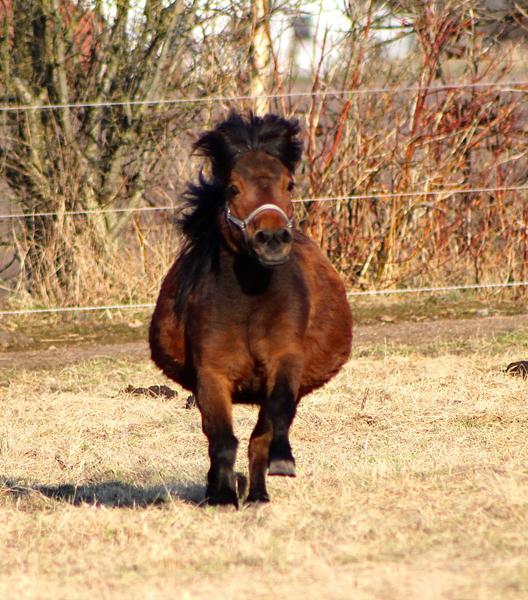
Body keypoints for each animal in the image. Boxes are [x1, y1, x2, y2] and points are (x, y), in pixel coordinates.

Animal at [151, 112, 352, 506]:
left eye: (289, 185)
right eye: (232, 188)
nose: (271, 239)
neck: (249, 306)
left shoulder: (286, 362)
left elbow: (272, 422)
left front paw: (281, 461)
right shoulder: (211, 376)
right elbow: (221, 441)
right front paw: (222, 495)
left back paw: (259, 493)